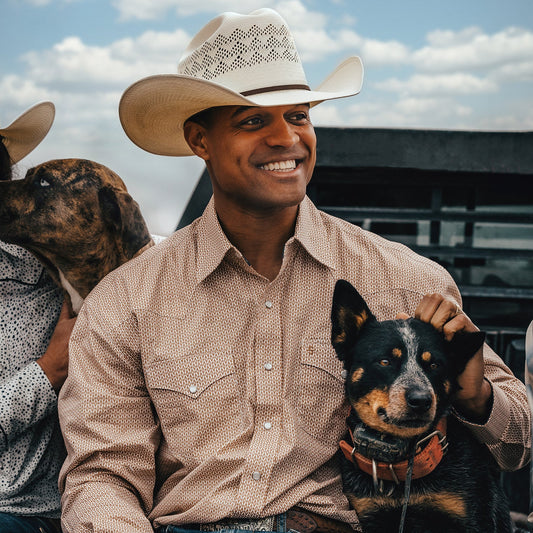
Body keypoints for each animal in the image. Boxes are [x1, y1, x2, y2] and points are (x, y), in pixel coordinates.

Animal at [328, 278, 512, 532]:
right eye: (385, 361)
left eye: (434, 364)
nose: (421, 400)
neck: (400, 467)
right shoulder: (373, 515)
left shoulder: (473, 516)